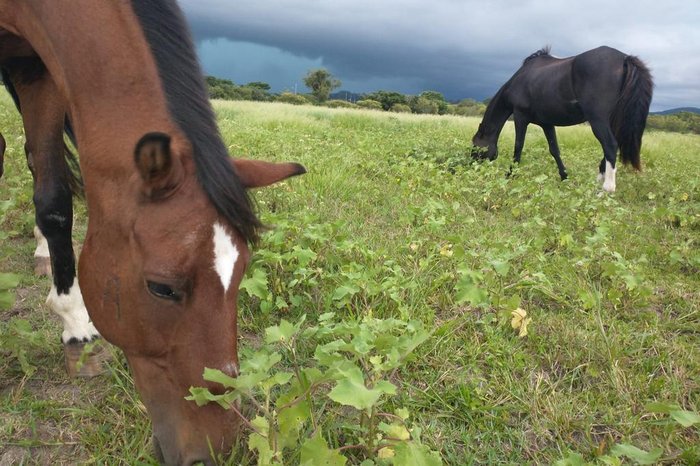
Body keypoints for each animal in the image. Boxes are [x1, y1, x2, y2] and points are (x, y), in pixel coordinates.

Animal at [0, 1, 306, 464]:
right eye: (162, 288)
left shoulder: (37, 68)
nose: (213, 452)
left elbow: (50, 188)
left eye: (241, 274)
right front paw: (75, 324)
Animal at [474, 46, 652, 192]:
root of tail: (625, 58)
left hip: (598, 120)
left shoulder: (520, 117)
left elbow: (518, 146)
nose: (474, 168)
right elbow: (555, 150)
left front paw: (510, 175)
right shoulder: (547, 124)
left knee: (610, 145)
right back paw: (599, 178)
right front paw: (564, 177)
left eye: (475, 147)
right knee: (615, 145)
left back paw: (606, 188)